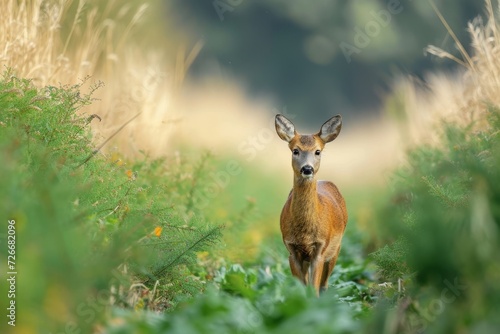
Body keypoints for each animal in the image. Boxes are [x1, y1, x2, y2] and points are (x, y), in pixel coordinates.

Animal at [274, 114, 348, 294]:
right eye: (295, 150)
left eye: (317, 151)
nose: (307, 169)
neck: (305, 234)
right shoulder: (291, 249)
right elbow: (302, 287)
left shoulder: (320, 248)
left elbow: (314, 288)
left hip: (336, 248)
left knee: (324, 284)